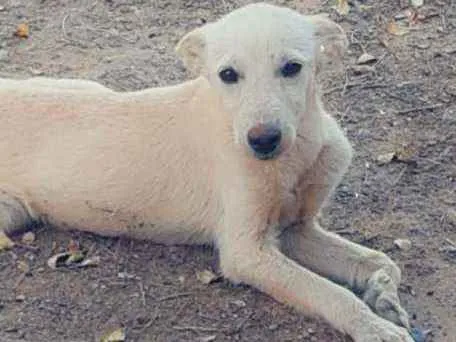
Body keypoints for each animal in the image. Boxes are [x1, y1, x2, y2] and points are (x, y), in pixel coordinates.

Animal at [0, 3, 414, 342]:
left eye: (292, 68)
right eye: (228, 74)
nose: (263, 140)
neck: (296, 155)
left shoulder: (297, 230)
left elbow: (382, 261)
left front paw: (383, 293)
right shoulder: (247, 253)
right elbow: (330, 293)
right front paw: (375, 328)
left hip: (83, 85)